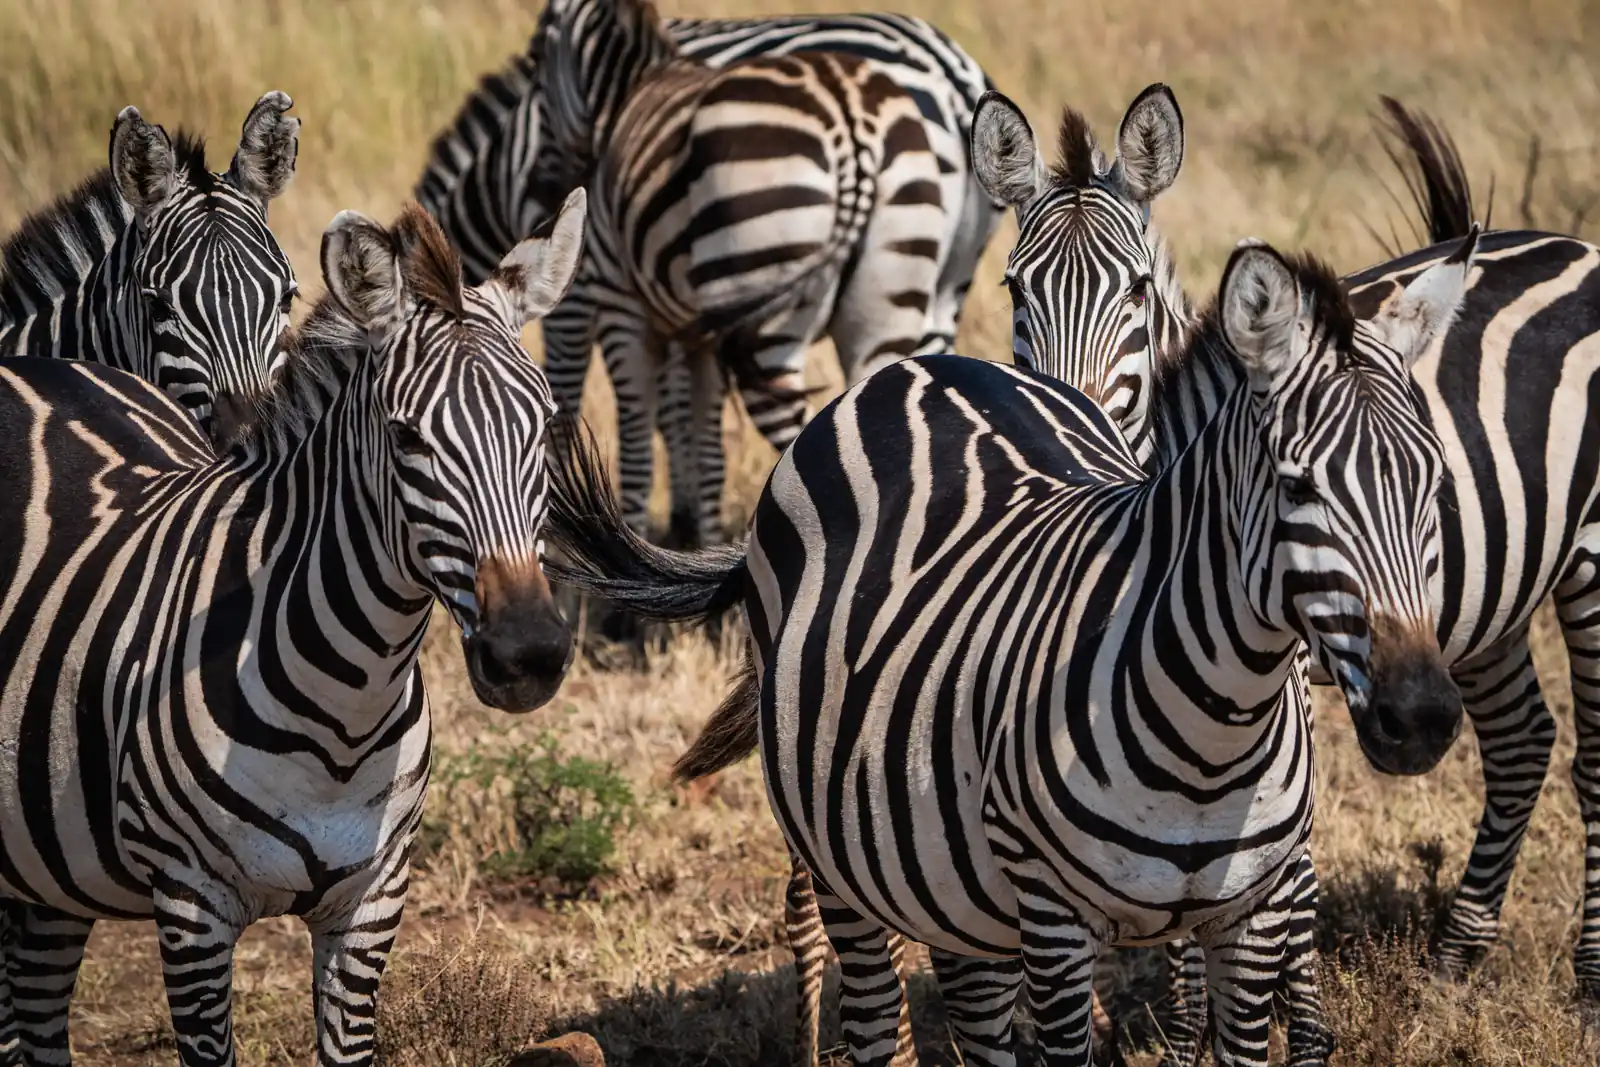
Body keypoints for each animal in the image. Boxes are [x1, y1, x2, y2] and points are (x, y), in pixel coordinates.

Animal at [0, 190, 587, 1067]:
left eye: (545, 428)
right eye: (406, 436)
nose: (529, 653)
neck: (347, 705)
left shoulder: (370, 904)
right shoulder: (192, 909)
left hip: (49, 873)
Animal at [416, 2, 1001, 545]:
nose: (548, 189)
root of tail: (955, 78)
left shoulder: (593, 296)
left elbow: (588, 398)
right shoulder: (682, 304)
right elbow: (682, 408)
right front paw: (687, 527)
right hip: (921, 291)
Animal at [542, 226, 1478, 1065]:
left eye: (1435, 480)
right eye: (1296, 485)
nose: (1421, 714)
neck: (1217, 732)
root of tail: (919, 367)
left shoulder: (1248, 915)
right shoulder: (1055, 917)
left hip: (944, 869)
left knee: (974, 1007)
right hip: (839, 855)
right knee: (875, 1013)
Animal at [971, 83, 1600, 1046]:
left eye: (1138, 290)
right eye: (1014, 289)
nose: (1064, 412)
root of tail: (1575, 245)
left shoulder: (1289, 671)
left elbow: (1283, 857)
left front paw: (1273, 1019)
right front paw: (1186, 1024)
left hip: (1594, 561)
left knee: (1592, 757)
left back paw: (1590, 978)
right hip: (1489, 602)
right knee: (1524, 739)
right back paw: (1454, 962)